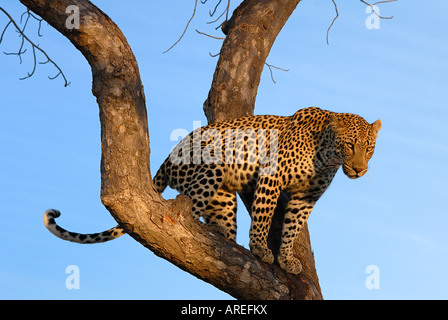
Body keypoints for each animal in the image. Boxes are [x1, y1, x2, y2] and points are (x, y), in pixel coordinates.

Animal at [43, 107, 382, 276]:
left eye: (369, 149)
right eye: (350, 145)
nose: (359, 169)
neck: (326, 157)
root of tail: (167, 159)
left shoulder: (304, 198)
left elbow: (292, 228)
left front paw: (286, 259)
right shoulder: (271, 177)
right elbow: (263, 217)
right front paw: (261, 249)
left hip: (223, 198)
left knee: (215, 221)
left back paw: (221, 238)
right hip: (210, 165)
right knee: (181, 214)